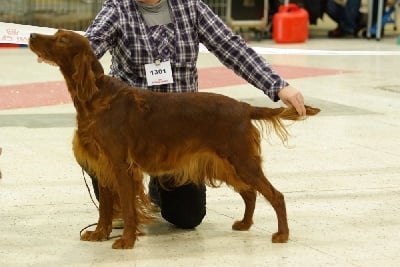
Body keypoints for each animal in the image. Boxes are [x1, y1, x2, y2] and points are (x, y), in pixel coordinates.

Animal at [28, 30, 318, 250]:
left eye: (62, 39)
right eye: (56, 34)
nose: (31, 35)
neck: (97, 98)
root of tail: (244, 107)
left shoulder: (121, 166)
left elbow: (128, 209)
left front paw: (126, 241)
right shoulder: (103, 165)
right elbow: (105, 209)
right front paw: (100, 233)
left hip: (242, 160)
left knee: (275, 195)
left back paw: (282, 235)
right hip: (227, 164)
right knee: (250, 193)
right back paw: (245, 224)